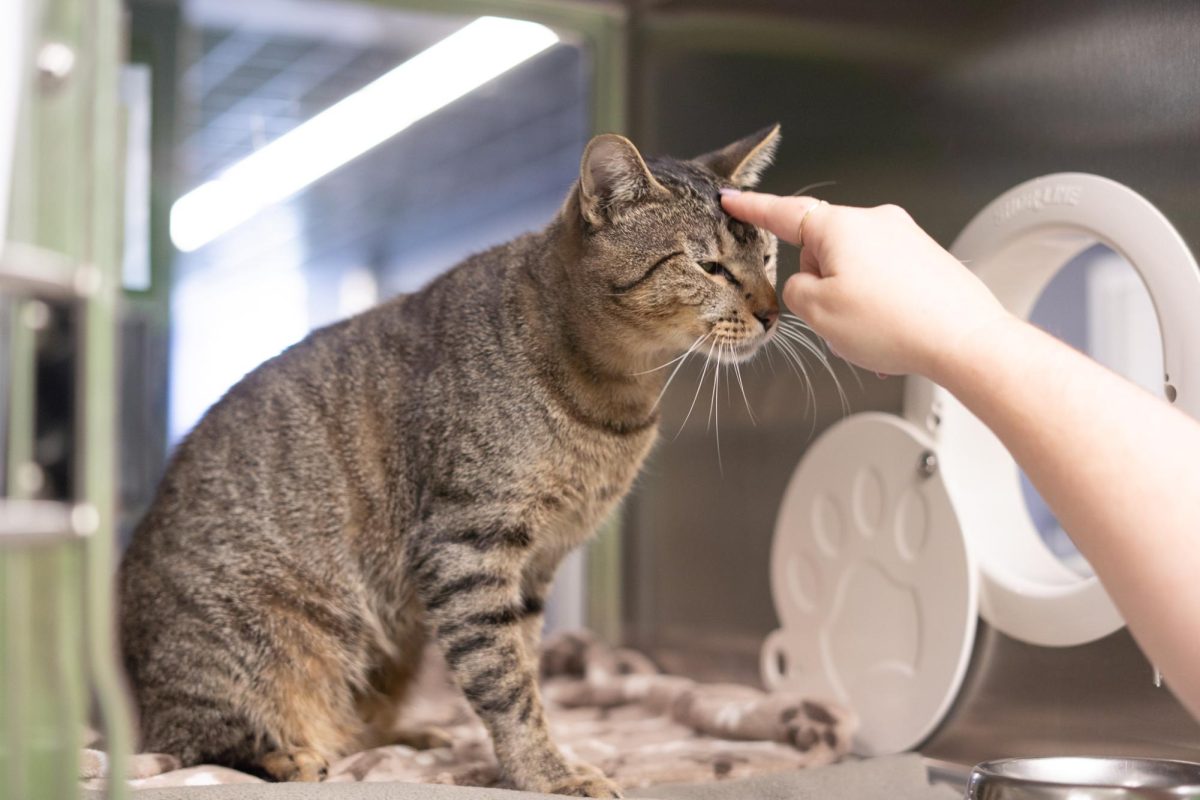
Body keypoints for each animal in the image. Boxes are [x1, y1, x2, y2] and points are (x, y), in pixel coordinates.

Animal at [117, 123, 782, 796]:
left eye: (769, 258)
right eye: (709, 265)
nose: (773, 313)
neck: (617, 395)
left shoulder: (534, 567)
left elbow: (524, 666)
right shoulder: (467, 547)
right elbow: (505, 681)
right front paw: (545, 771)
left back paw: (407, 735)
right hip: (269, 647)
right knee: (198, 742)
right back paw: (287, 754)